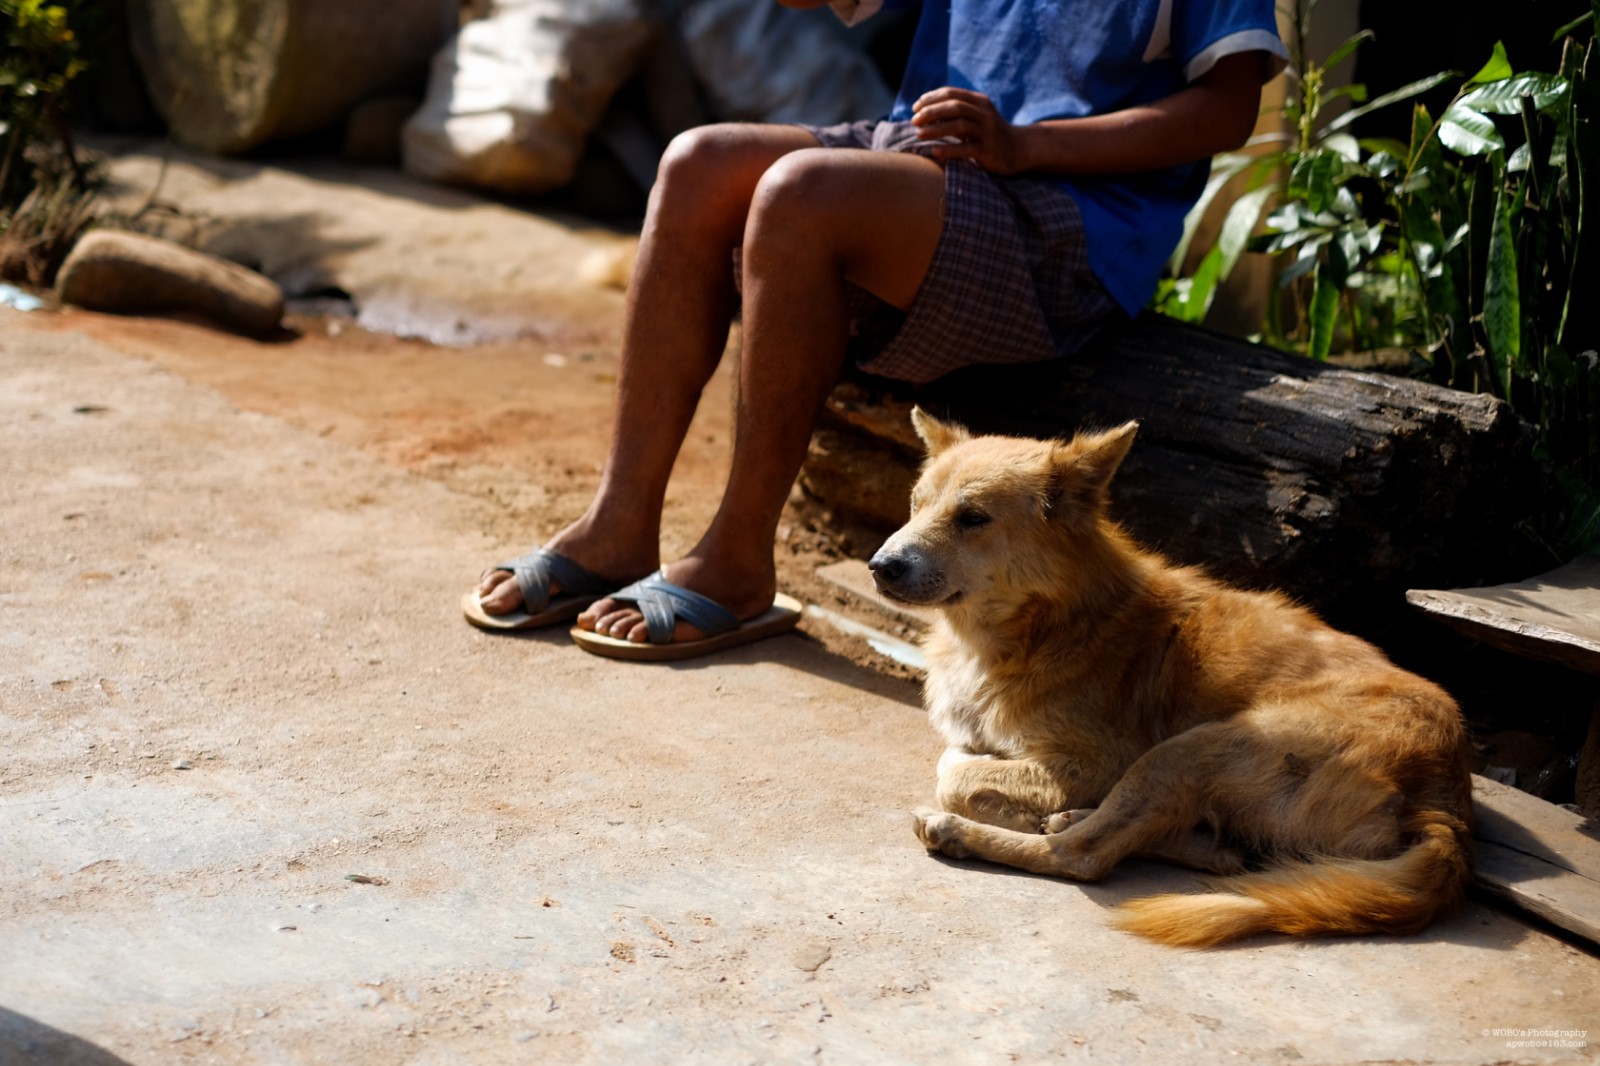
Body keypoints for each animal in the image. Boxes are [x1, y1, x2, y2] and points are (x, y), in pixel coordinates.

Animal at [876, 408, 1472, 947]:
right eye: (915, 505)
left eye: (973, 517)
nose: (881, 567)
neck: (1049, 624)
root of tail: (1446, 803)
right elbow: (960, 758)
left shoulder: (1092, 761)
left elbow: (954, 771)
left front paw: (1001, 803)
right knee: (1212, 853)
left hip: (1192, 748)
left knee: (1085, 856)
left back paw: (973, 832)